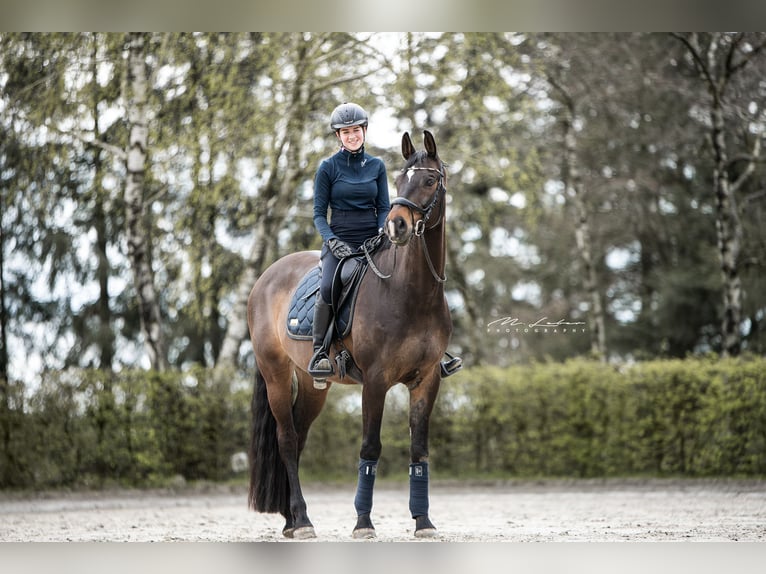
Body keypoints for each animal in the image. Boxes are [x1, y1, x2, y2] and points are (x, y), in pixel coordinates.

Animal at [246, 129, 452, 540]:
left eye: (429, 181)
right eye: (399, 180)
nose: (396, 226)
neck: (411, 293)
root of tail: (267, 276)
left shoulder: (426, 380)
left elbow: (418, 450)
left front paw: (423, 522)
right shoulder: (375, 381)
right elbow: (370, 448)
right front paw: (363, 523)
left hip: (313, 384)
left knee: (299, 436)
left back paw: (292, 520)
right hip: (276, 374)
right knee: (287, 440)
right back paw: (303, 521)